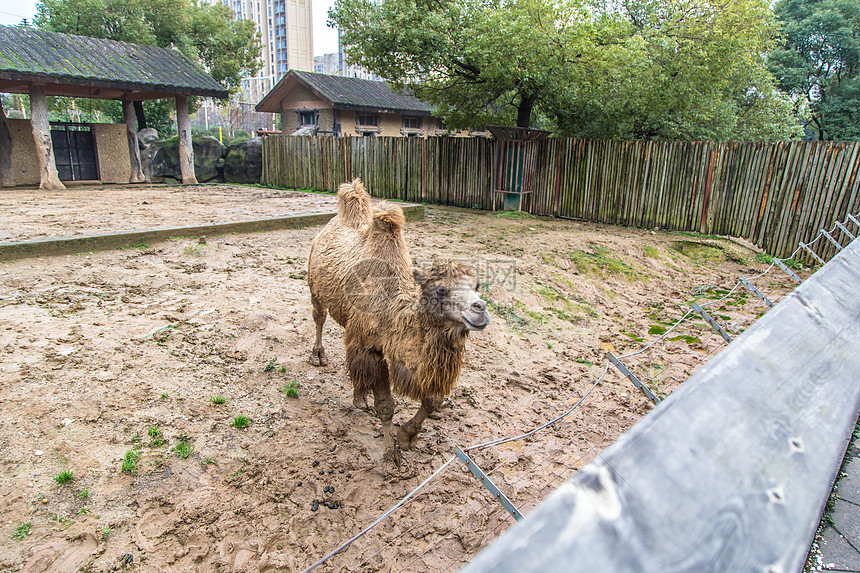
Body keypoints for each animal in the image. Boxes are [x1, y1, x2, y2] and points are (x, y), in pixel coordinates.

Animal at [308, 178, 490, 464]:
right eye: (441, 291)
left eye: (477, 286)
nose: (480, 309)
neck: (393, 312)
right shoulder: (372, 348)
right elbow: (385, 406)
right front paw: (391, 454)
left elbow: (432, 400)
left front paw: (407, 436)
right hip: (314, 284)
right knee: (319, 317)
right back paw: (318, 356)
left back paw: (359, 398)